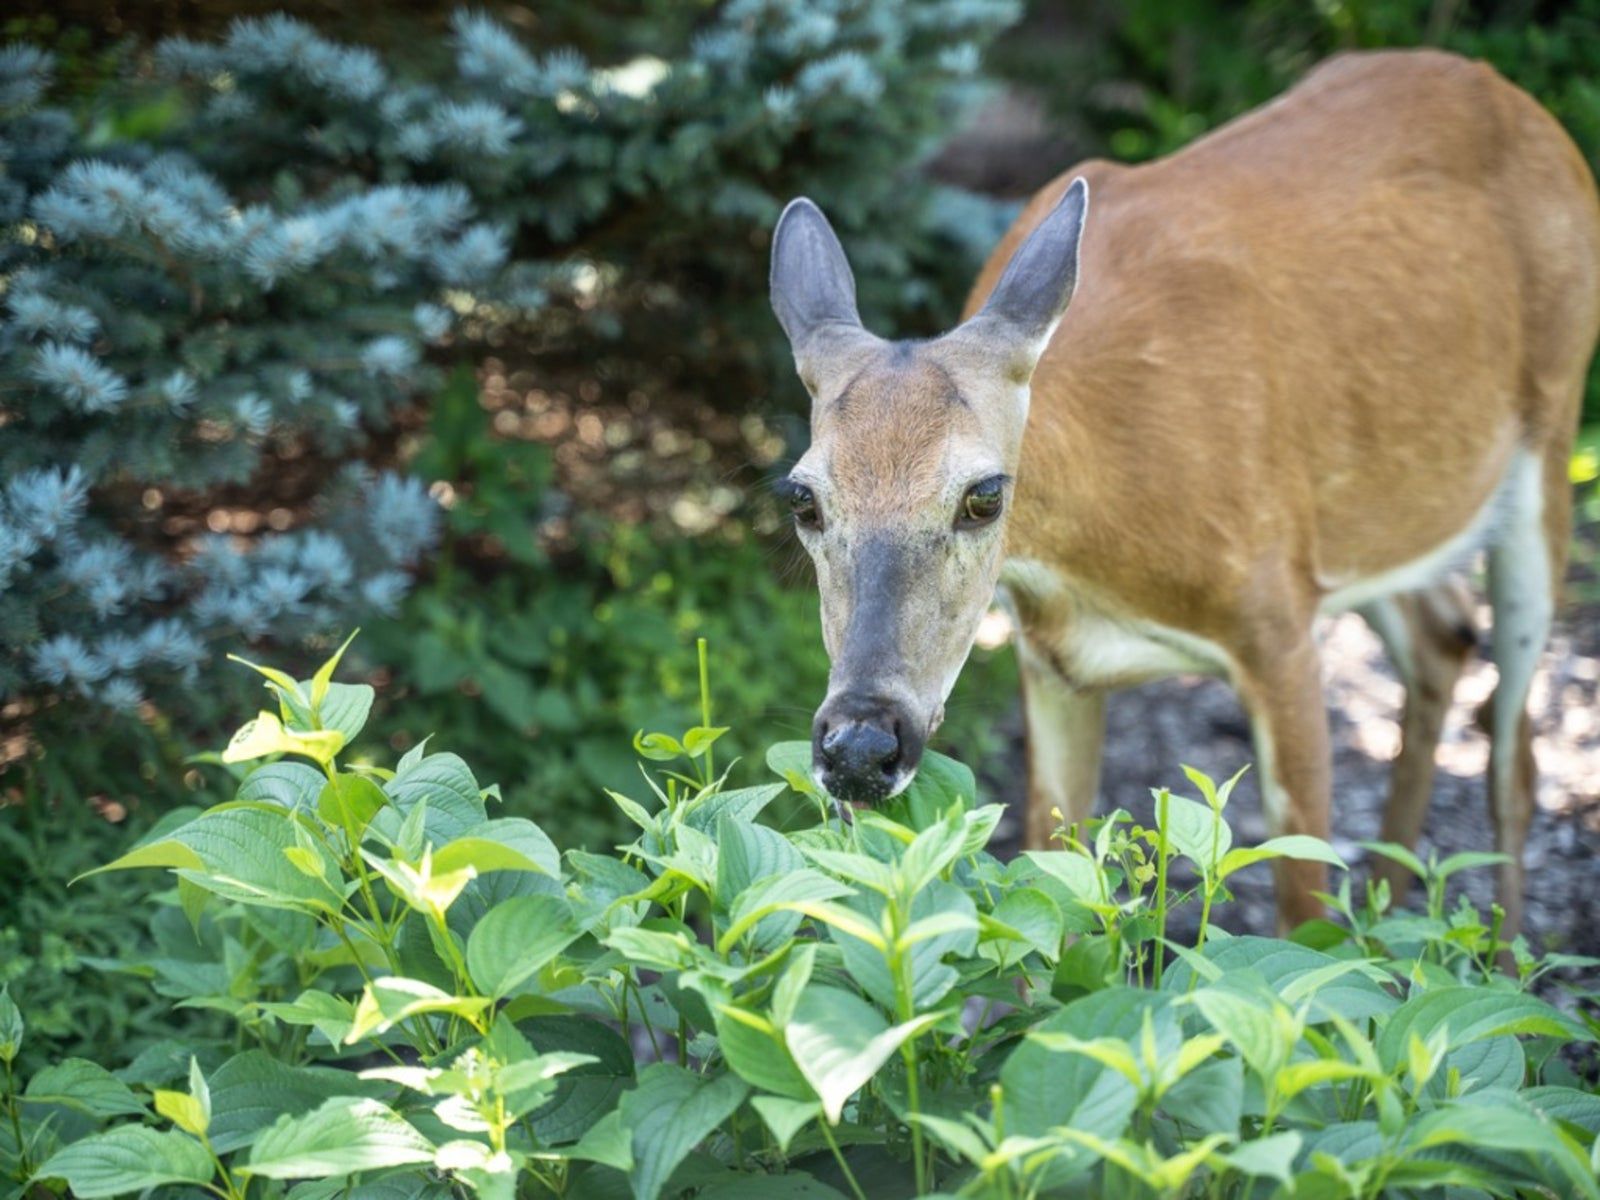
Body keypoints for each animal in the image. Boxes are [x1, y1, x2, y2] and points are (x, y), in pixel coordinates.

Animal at [768, 49, 1600, 937]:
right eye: (803, 498)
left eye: (983, 495)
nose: (860, 747)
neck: (1101, 548)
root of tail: (1522, 103)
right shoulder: (1050, 660)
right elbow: (1053, 888)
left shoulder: (1279, 625)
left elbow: (1301, 914)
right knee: (1444, 637)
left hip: (1549, 441)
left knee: (1516, 759)